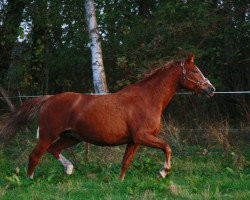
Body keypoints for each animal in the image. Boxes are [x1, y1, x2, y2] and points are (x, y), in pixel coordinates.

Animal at [0, 53, 215, 180]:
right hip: (47, 135)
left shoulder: (134, 140)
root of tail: (49, 98)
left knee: (54, 150)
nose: (211, 89)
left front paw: (120, 183)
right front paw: (163, 171)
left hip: (72, 137)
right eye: (194, 70)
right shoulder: (142, 136)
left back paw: (69, 169)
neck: (147, 99)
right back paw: (30, 180)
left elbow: (125, 163)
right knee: (35, 156)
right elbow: (167, 147)